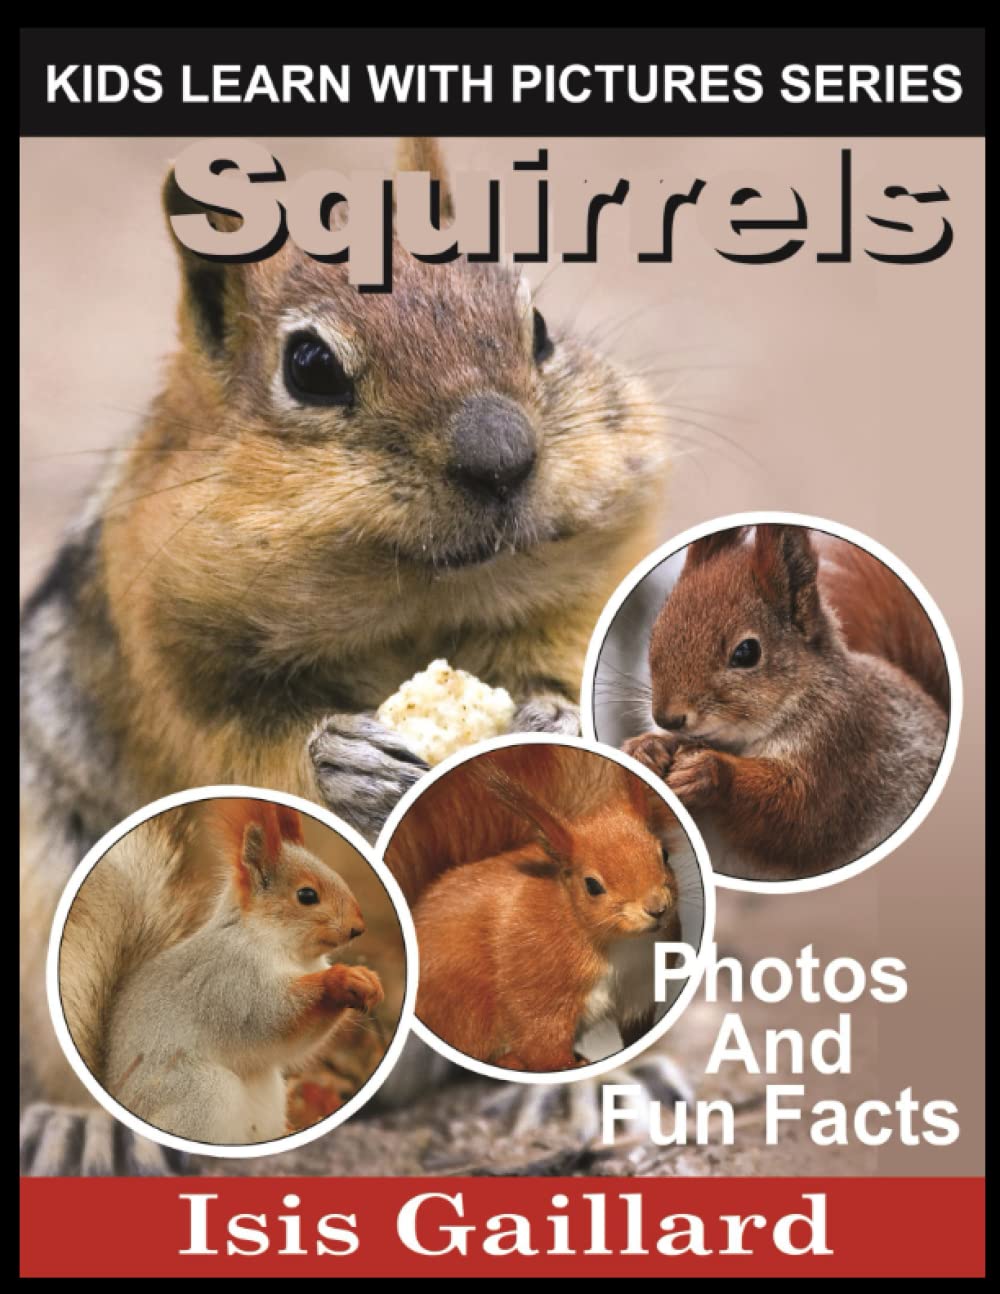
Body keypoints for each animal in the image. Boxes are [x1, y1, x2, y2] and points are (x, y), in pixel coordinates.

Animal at [61, 800, 383, 1146]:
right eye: (307, 895)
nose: (358, 928)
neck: (291, 954)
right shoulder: (230, 980)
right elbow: (272, 1016)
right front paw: (340, 980)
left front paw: (369, 981)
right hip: (204, 1092)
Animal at [385, 744, 684, 1070]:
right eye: (592, 885)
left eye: (665, 854)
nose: (657, 908)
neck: (619, 944)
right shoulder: (536, 980)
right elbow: (542, 1043)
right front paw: (566, 1066)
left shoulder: (642, 986)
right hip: (465, 1008)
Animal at [623, 524, 949, 879]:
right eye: (657, 630)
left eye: (747, 652)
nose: (667, 718)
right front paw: (647, 749)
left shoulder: (841, 746)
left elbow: (800, 816)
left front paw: (708, 772)